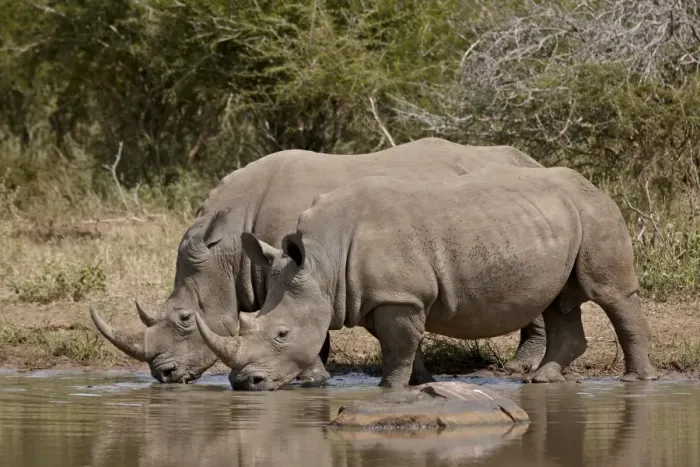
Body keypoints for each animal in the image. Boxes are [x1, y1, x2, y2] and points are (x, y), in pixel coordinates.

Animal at [89, 137, 547, 385]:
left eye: (186, 319)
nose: (162, 375)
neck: (228, 249)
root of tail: (530, 159)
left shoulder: (301, 268)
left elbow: (312, 329)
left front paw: (311, 378)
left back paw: (518, 368)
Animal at [195, 164, 658, 390]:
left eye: (282, 335)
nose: (244, 384)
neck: (322, 262)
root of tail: (593, 185)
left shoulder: (399, 296)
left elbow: (397, 348)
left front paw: (390, 388)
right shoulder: (387, 296)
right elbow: (404, 344)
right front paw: (424, 382)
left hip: (595, 212)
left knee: (610, 294)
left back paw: (636, 380)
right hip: (558, 218)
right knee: (559, 301)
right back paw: (542, 379)